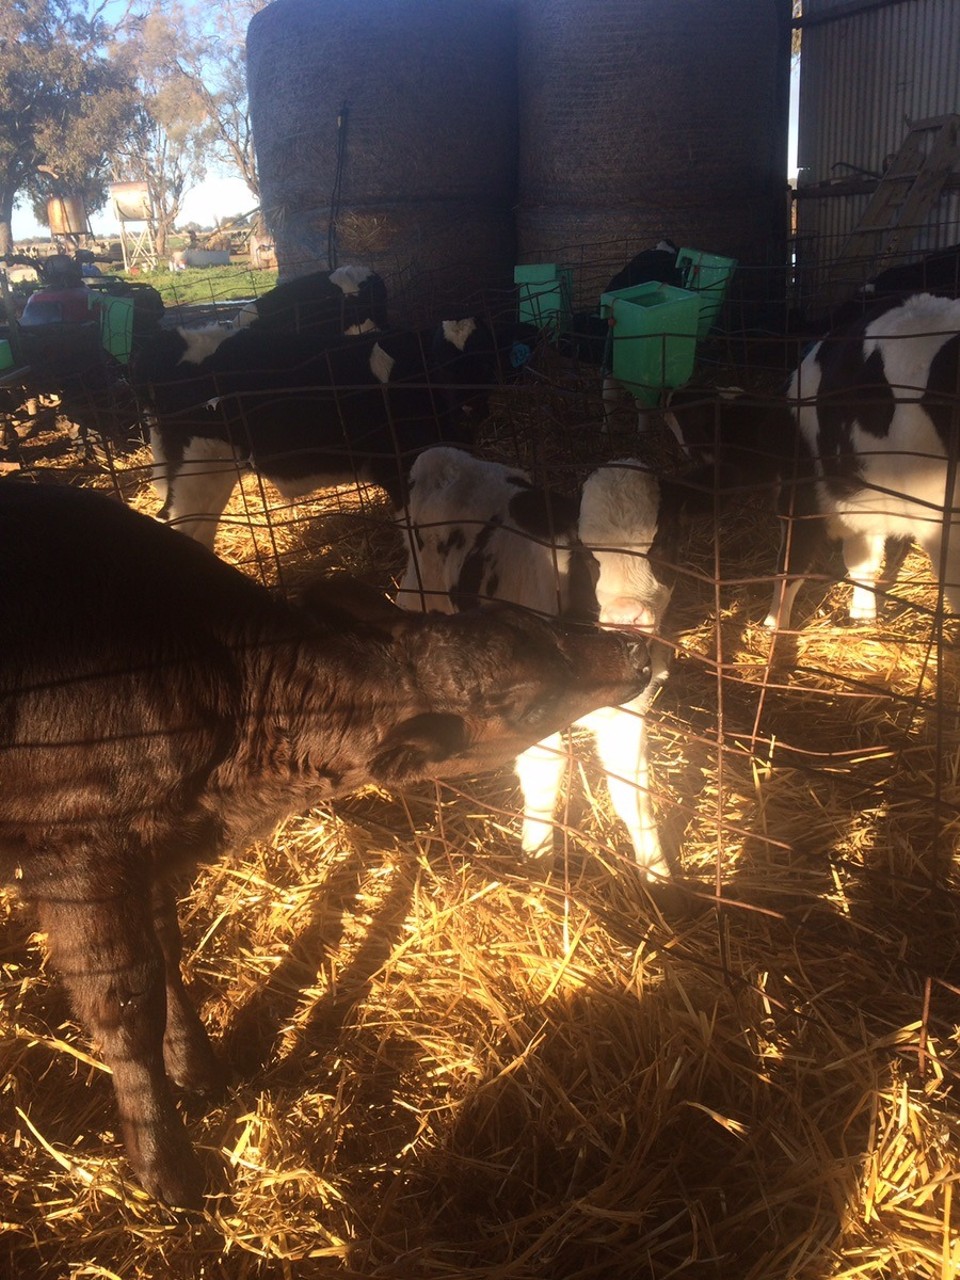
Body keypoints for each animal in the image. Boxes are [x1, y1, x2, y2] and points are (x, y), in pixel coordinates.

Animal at [130, 317, 529, 547]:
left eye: (488, 360)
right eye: (439, 363)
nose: (470, 408)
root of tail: (168, 340)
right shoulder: (399, 470)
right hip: (198, 466)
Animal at [396, 445, 686, 875]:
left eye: (663, 540)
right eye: (588, 555)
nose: (627, 615)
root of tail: (437, 454)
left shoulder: (626, 713)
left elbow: (633, 794)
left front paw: (657, 873)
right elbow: (545, 780)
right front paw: (537, 861)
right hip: (418, 589)